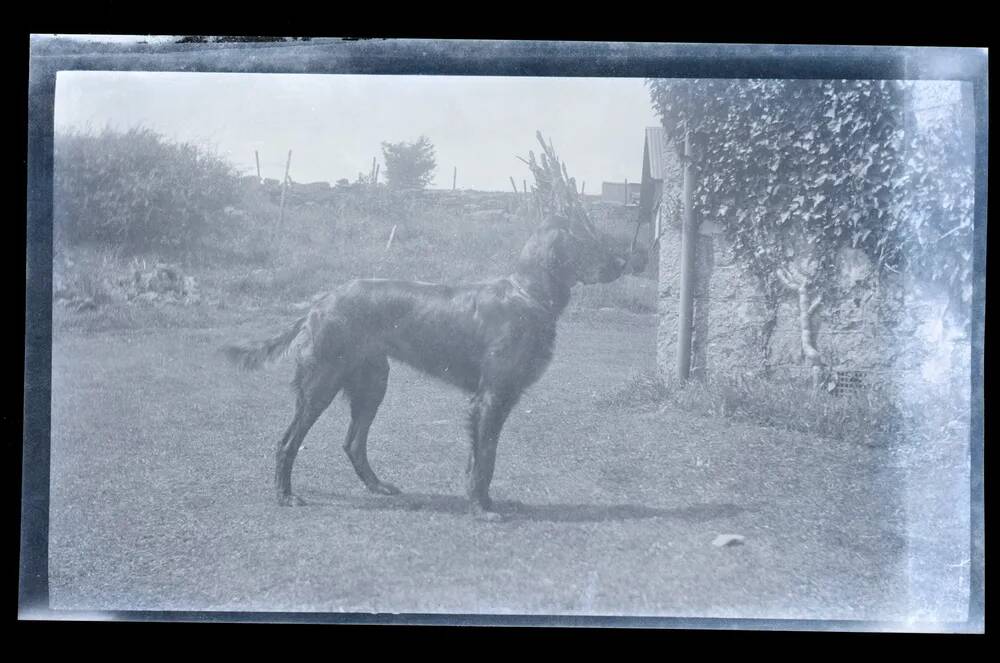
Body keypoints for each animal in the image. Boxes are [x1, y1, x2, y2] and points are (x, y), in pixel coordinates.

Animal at [226, 213, 644, 520]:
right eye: (585, 238)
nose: (625, 262)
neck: (526, 297)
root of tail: (320, 303)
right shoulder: (490, 398)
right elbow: (484, 459)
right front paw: (480, 509)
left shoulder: (499, 399)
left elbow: (483, 456)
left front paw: (483, 502)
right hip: (321, 384)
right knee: (287, 443)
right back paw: (286, 496)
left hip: (373, 383)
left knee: (354, 442)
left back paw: (378, 487)